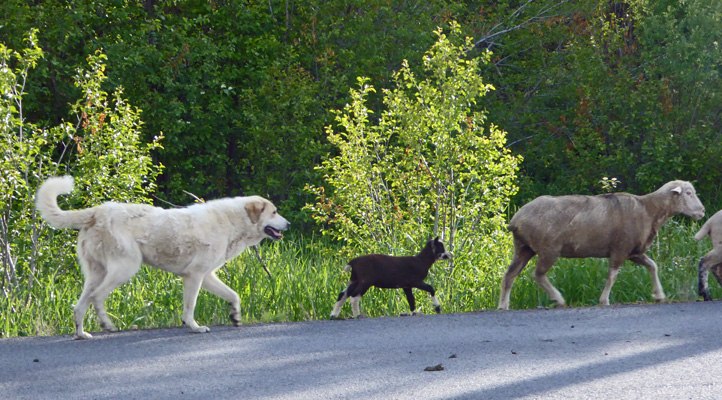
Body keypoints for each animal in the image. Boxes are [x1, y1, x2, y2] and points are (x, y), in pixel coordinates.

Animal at [35, 177, 290, 340]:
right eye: (275, 212)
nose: (288, 224)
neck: (232, 221)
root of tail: (97, 211)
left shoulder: (207, 276)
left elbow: (233, 294)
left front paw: (235, 316)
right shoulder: (195, 276)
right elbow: (190, 307)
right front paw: (194, 328)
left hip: (96, 273)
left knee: (79, 306)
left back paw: (82, 334)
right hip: (125, 268)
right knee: (97, 297)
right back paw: (107, 325)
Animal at [498, 180, 700, 310]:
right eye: (688, 193)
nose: (702, 211)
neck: (649, 210)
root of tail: (516, 220)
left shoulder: (633, 252)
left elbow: (653, 266)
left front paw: (659, 295)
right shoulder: (620, 248)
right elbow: (612, 276)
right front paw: (604, 300)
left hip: (523, 247)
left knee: (510, 275)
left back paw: (503, 305)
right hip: (549, 249)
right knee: (538, 275)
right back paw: (558, 299)